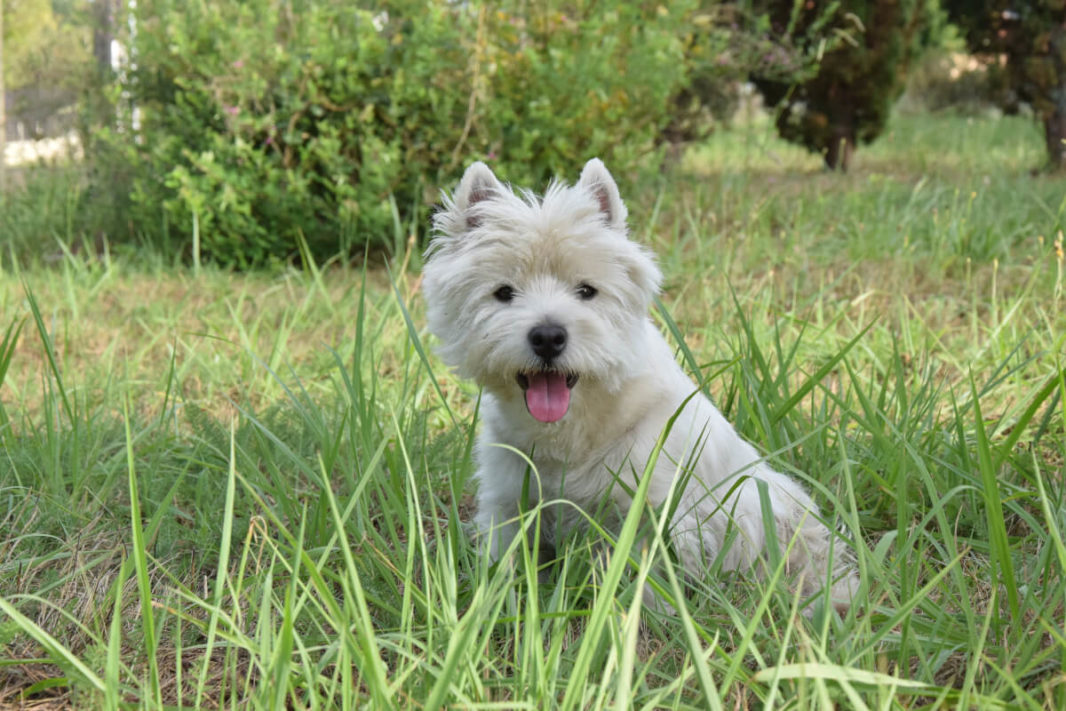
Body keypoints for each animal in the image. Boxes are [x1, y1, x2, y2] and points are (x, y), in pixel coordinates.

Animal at [422, 158, 857, 609]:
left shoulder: (652, 509)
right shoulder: (509, 500)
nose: (548, 336)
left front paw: (637, 612)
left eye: (586, 290)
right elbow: (504, 563)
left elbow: (641, 577)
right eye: (504, 292)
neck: (573, 434)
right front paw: (492, 603)